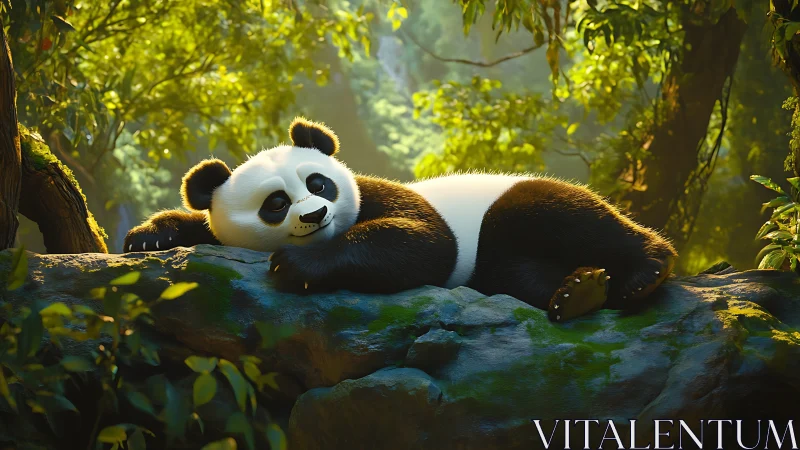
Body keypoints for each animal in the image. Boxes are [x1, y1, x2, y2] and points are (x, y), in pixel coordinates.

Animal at [124, 117, 677, 322]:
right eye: (276, 203)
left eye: (319, 184)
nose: (317, 215)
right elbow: (199, 222)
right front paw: (146, 239)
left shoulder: (374, 194)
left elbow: (425, 240)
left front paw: (296, 267)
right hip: (502, 261)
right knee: (521, 274)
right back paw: (579, 292)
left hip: (513, 204)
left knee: (573, 218)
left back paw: (641, 273)